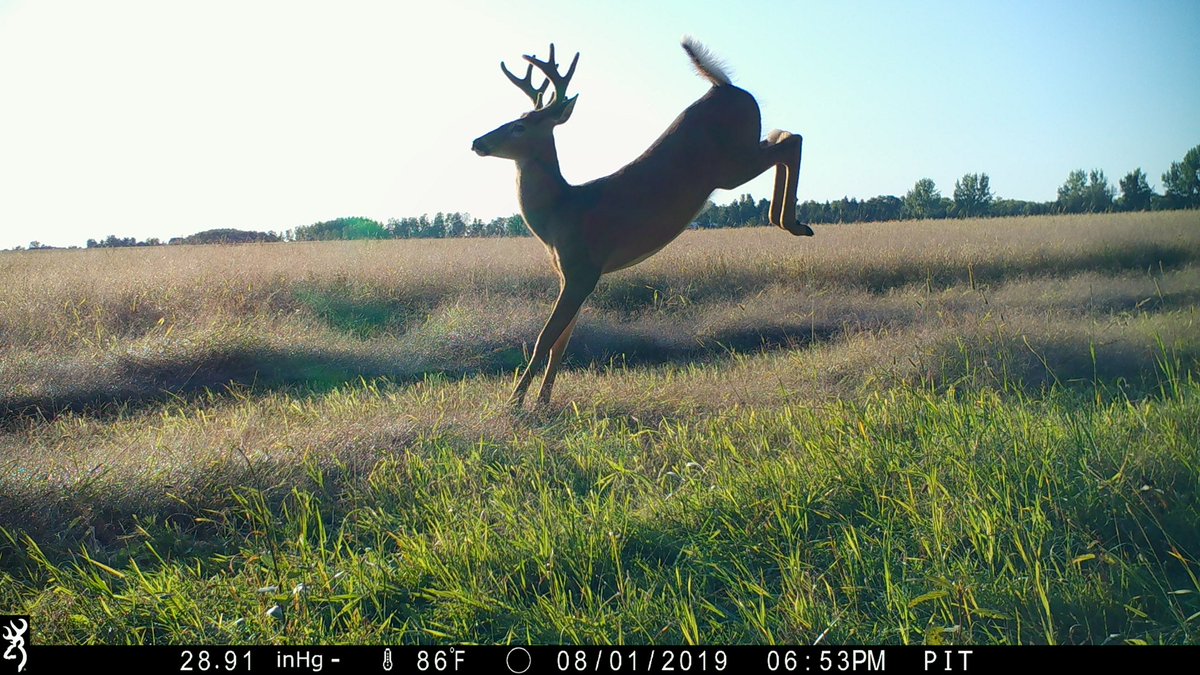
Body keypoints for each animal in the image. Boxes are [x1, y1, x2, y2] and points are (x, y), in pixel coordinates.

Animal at [472, 38, 811, 409]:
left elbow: (544, 340)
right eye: (513, 118)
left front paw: (515, 404)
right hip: (742, 153)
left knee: (792, 140)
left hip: (729, 166)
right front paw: (542, 402)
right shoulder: (568, 274)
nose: (477, 142)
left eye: (519, 126)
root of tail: (723, 86)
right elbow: (560, 344)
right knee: (782, 135)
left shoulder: (582, 270)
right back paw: (788, 220)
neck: (558, 213)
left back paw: (791, 223)